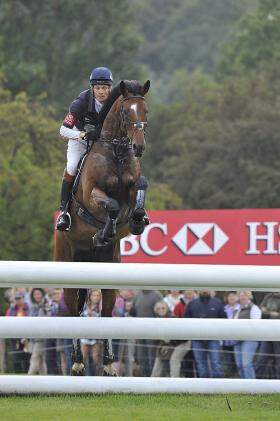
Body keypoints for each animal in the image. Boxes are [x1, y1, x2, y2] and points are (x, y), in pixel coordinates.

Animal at [55, 79, 151, 374]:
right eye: (125, 112)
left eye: (146, 111)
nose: (138, 147)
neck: (117, 151)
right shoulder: (92, 194)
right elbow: (109, 205)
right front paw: (104, 231)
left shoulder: (132, 185)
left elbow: (141, 186)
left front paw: (138, 220)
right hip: (67, 265)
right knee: (73, 312)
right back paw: (77, 363)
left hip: (109, 271)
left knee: (107, 312)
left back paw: (108, 364)